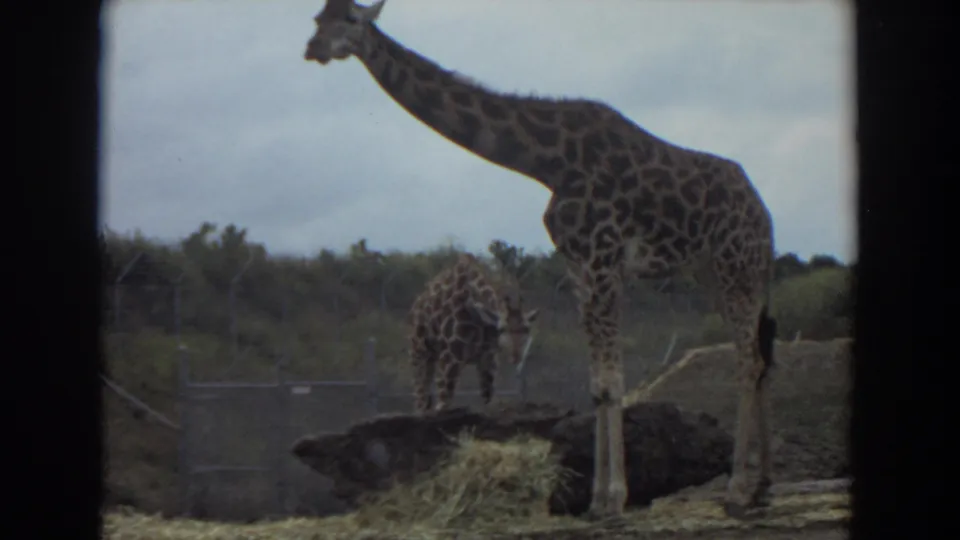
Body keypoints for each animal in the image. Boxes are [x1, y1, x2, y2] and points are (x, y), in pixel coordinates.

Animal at [407, 253, 539, 414]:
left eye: (526, 329)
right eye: (502, 329)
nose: (516, 356)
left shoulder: (488, 360)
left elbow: (487, 398)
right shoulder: (449, 358)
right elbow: (443, 402)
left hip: (432, 356)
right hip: (419, 350)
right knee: (420, 392)